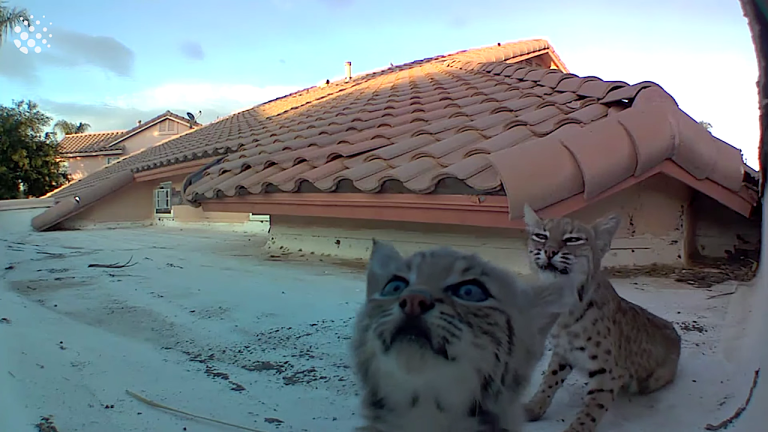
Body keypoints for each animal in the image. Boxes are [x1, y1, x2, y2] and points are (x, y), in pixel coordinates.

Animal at [520, 205, 684, 432]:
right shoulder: (562, 352)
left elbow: (591, 410)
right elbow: (549, 380)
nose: (549, 251)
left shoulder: (608, 371)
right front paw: (534, 407)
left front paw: (575, 429)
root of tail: (676, 332)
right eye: (541, 236)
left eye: (573, 239)